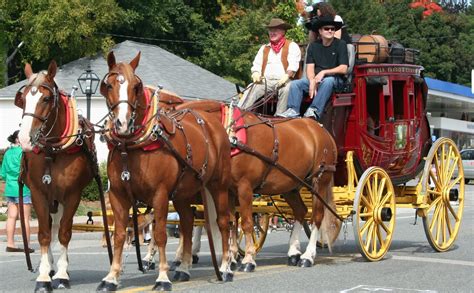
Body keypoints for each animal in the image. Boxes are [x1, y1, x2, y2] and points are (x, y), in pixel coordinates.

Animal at [15, 60, 109, 290]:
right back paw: (49, 266)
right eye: (23, 99)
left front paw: (63, 274)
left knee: (58, 227)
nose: (24, 138)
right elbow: (43, 234)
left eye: (46, 98)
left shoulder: (72, 194)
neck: (52, 151)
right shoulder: (39, 193)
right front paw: (43, 277)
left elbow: (64, 233)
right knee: (50, 227)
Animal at [97, 51, 233, 290]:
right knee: (187, 223)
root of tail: (211, 123)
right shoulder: (118, 195)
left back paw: (225, 267)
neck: (131, 147)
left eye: (136, 86)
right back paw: (184, 268)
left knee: (224, 221)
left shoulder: (159, 194)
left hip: (219, 186)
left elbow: (160, 234)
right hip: (182, 193)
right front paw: (111, 277)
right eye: (109, 85)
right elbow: (120, 235)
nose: (122, 123)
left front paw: (162, 277)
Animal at [170, 99, 340, 270]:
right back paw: (293, 252)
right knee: (301, 211)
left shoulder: (244, 187)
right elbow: (232, 222)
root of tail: (322, 130)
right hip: (291, 185)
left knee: (317, 216)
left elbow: (246, 223)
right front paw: (231, 259)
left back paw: (308, 256)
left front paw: (248, 259)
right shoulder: (229, 191)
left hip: (319, 180)